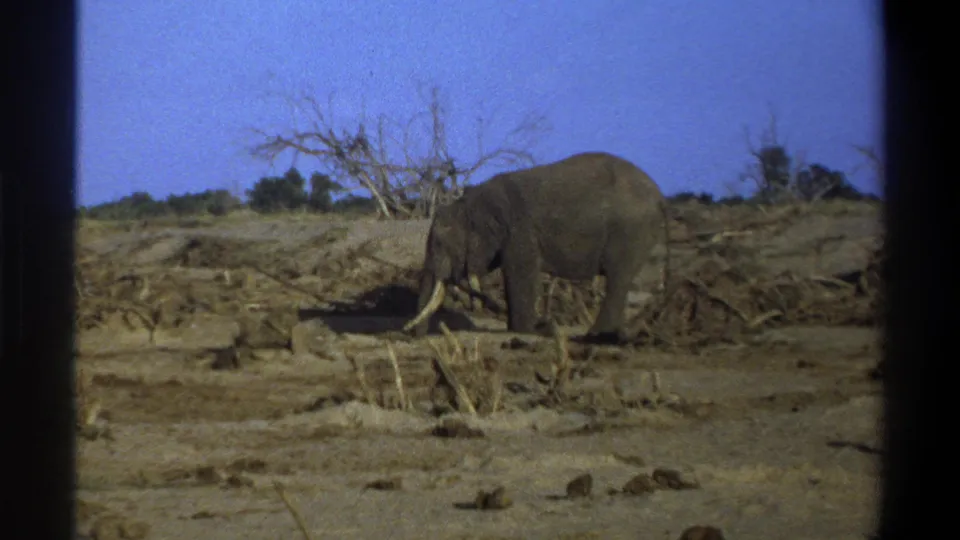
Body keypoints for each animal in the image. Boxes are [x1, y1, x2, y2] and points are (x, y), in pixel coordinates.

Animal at [403, 151, 670, 344]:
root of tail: (660, 196)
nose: (410, 335)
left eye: (441, 244)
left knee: (618, 279)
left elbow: (521, 273)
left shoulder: (520, 232)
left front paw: (526, 330)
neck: (471, 201)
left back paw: (596, 336)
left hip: (629, 230)